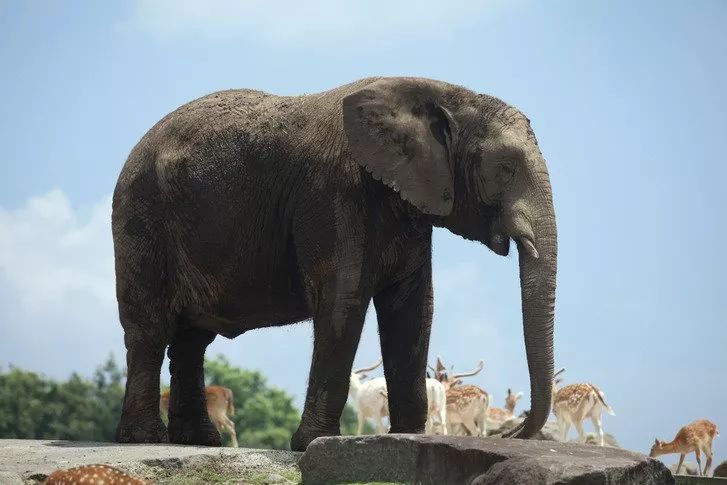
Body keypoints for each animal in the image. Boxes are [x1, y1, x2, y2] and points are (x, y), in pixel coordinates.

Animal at [112, 75, 556, 450]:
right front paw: (311, 444)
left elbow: (414, 309)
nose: (513, 432)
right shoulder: (334, 196)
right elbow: (343, 301)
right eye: (506, 168)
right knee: (149, 329)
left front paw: (409, 438)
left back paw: (200, 441)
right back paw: (146, 439)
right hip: (142, 219)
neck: (442, 92)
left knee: (192, 339)